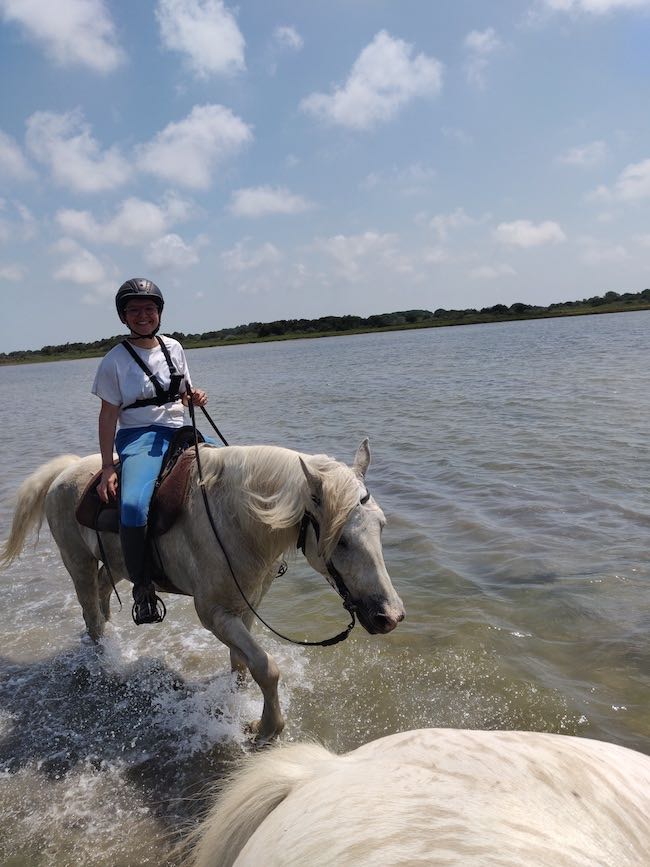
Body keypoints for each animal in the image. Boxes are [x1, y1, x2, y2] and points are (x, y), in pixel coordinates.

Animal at [1, 439, 404, 742]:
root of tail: (65, 472)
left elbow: (243, 664)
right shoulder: (213, 613)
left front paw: (237, 698)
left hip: (114, 563)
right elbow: (266, 668)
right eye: (341, 541)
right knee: (90, 613)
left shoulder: (245, 606)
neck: (236, 520)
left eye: (382, 526)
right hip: (76, 561)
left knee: (101, 592)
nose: (390, 616)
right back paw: (106, 661)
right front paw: (266, 728)